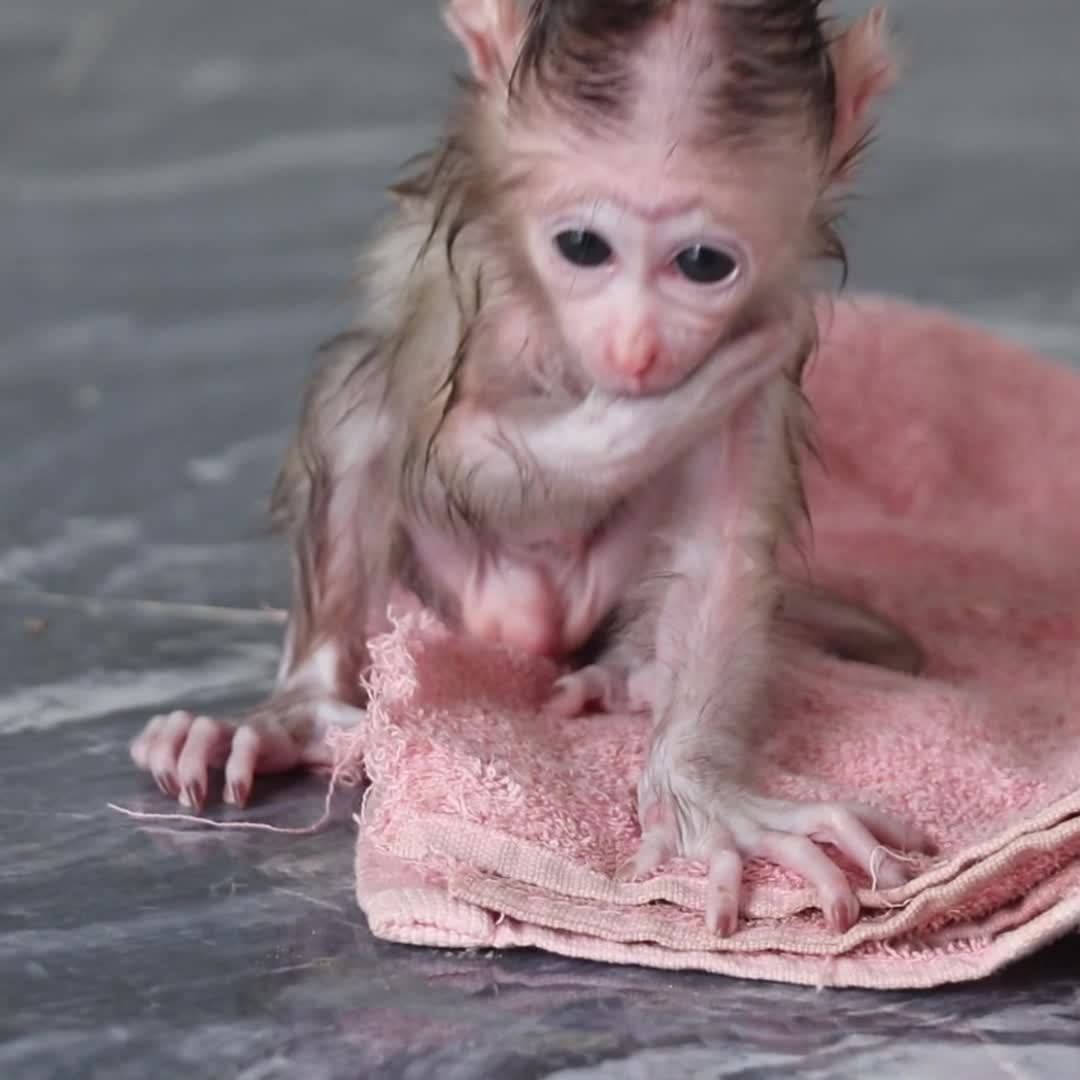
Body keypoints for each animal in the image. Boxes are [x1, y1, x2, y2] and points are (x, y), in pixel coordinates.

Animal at [131, 0, 933, 935]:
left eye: (703, 263)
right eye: (583, 247)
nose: (637, 348)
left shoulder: (765, 314)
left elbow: (722, 548)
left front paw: (700, 797)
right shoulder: (481, 287)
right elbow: (438, 452)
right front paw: (640, 422)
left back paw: (625, 672)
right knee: (362, 393)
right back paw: (295, 714)